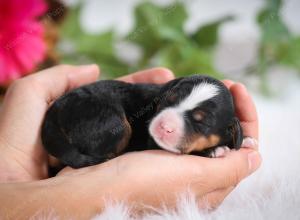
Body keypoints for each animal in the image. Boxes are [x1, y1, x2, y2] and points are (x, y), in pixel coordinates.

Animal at [42, 74, 243, 168]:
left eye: (202, 123)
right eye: (169, 100)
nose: (164, 126)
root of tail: (54, 111)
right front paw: (214, 150)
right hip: (114, 122)